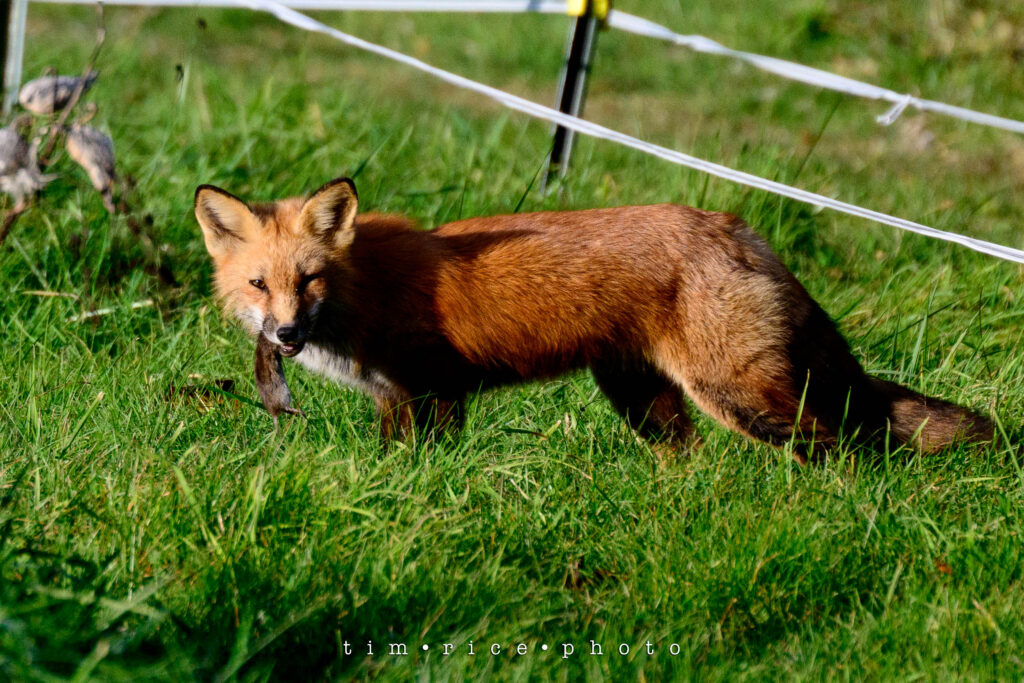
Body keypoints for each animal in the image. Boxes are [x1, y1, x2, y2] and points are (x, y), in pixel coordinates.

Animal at [194, 176, 995, 461]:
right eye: (259, 284)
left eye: (310, 279)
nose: (285, 336)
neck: (361, 289)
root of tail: (732, 223)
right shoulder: (403, 400)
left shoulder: (432, 392)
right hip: (646, 399)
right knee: (688, 456)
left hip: (740, 394)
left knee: (846, 447)